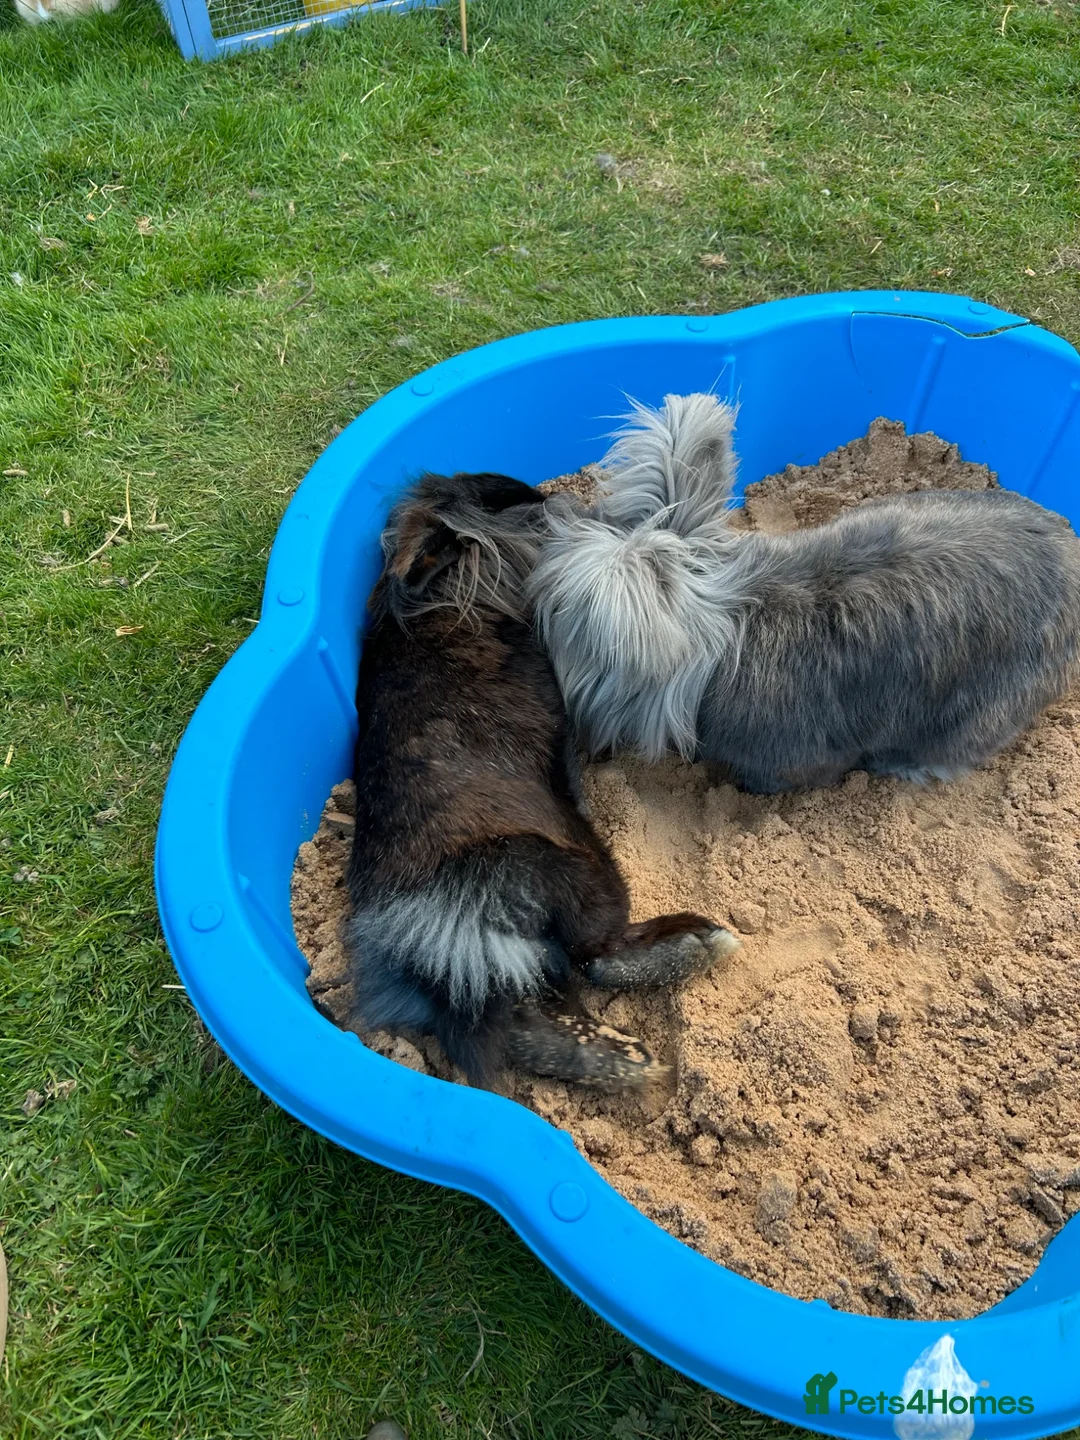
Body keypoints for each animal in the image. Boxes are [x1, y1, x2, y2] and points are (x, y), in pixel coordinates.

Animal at [345, 470, 740, 1089]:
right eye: (513, 506)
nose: (555, 500)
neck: (447, 596)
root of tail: (435, 920)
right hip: (578, 869)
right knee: (596, 956)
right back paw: (695, 953)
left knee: (532, 1017)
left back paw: (621, 1059)